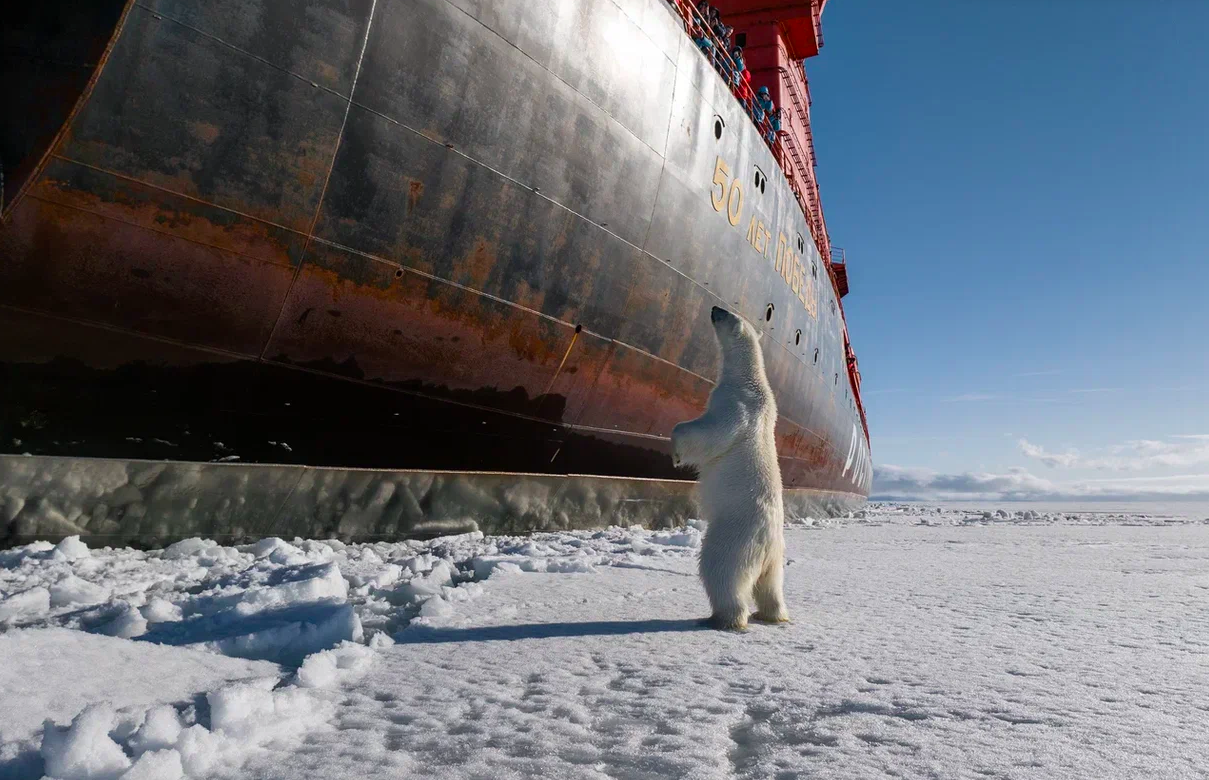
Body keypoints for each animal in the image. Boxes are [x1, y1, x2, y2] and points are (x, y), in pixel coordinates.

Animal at [671, 305, 787, 631]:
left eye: (726, 313)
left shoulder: (735, 403)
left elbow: (714, 433)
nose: (713, 307)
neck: (751, 378)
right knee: (771, 584)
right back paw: (771, 614)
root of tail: (767, 544)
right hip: (776, 559)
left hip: (733, 539)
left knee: (720, 571)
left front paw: (675, 453)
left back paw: (722, 618)